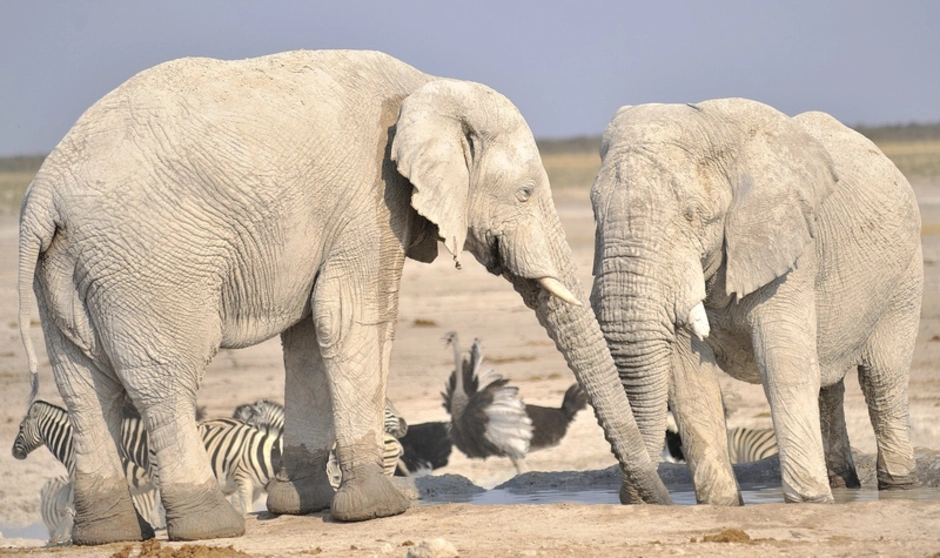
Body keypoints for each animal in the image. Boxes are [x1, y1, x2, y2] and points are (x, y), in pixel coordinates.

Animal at [18, 49, 672, 548]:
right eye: (527, 192)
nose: (654, 502)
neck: (424, 86)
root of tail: (44, 196)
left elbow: (309, 336)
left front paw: (303, 504)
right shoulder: (369, 199)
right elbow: (351, 319)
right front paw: (385, 506)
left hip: (71, 270)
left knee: (84, 385)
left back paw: (107, 536)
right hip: (151, 267)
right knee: (163, 381)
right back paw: (210, 527)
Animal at [592, 97, 920, 508]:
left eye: (692, 213)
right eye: (595, 211)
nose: (635, 498)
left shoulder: (791, 251)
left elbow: (782, 364)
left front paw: (810, 504)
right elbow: (688, 378)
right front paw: (722, 506)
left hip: (904, 278)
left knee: (882, 377)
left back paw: (898, 486)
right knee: (828, 382)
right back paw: (842, 482)